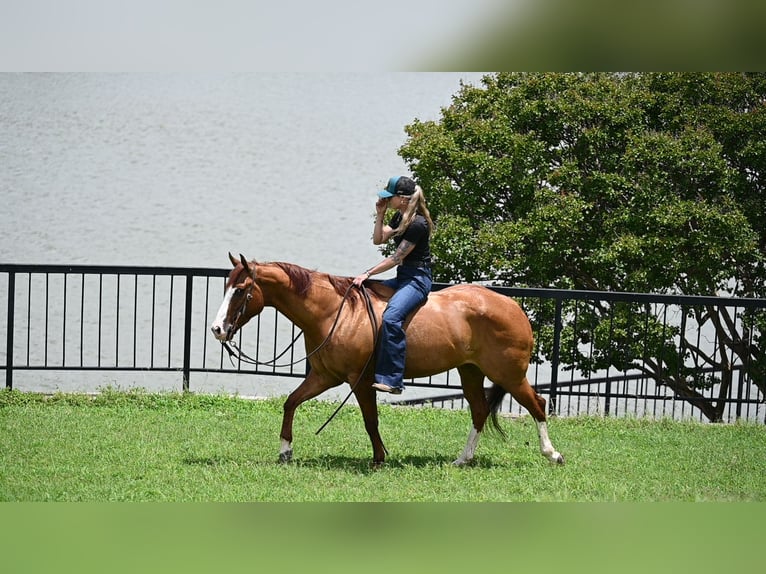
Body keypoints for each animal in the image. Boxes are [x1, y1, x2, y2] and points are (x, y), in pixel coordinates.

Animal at [210, 253, 564, 467]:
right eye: (227, 285)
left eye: (240, 290)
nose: (218, 329)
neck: (335, 312)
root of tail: (514, 308)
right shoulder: (324, 376)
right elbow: (291, 402)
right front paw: (285, 450)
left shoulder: (359, 380)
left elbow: (371, 420)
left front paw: (379, 457)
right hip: (471, 372)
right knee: (479, 411)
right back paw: (463, 459)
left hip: (508, 374)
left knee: (537, 404)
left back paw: (552, 454)